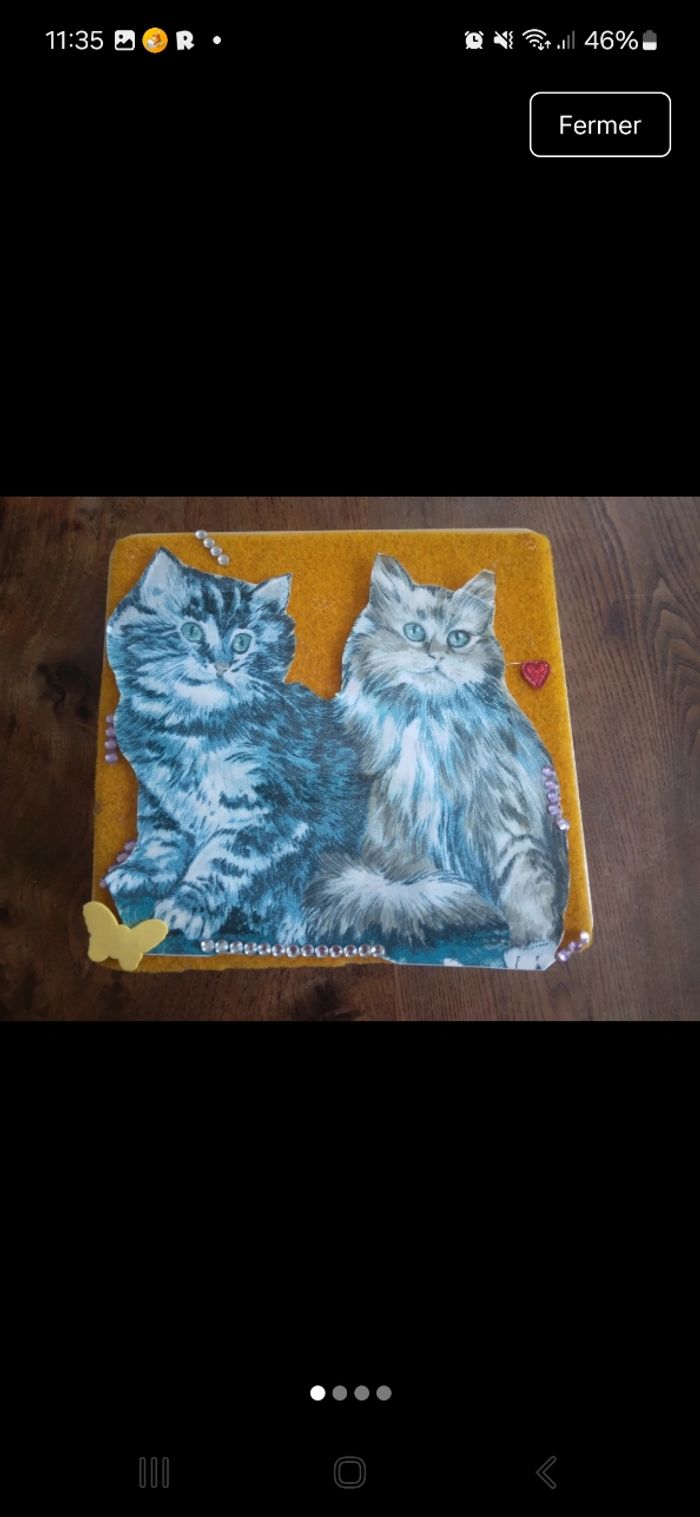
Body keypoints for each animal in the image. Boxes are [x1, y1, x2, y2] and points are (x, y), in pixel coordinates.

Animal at [104, 547, 365, 945]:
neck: (189, 728)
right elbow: (158, 839)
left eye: (243, 642)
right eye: (192, 631)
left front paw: (188, 906)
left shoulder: (270, 812)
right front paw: (140, 871)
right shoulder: (157, 796)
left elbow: (222, 862)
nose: (221, 664)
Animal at [305, 554, 569, 968]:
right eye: (414, 632)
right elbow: (406, 888)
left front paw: (534, 946)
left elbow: (524, 886)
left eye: (458, 638)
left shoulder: (506, 819)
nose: (437, 655)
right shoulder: (397, 823)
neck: (428, 719)